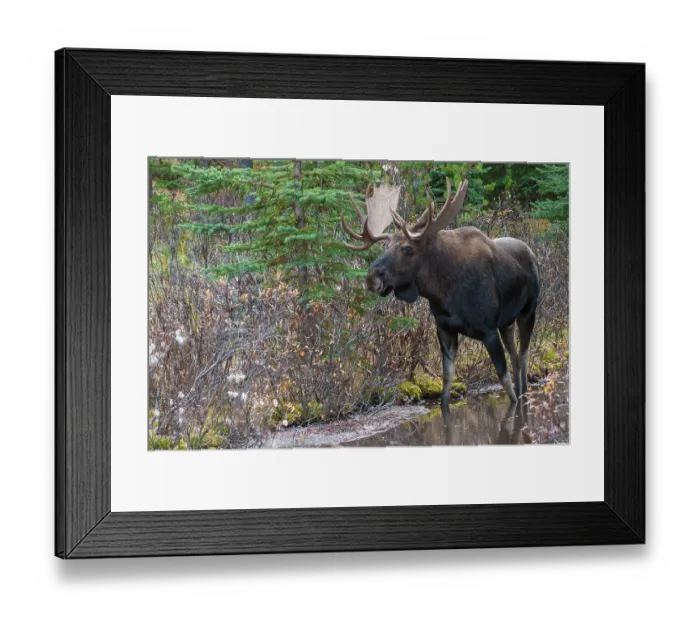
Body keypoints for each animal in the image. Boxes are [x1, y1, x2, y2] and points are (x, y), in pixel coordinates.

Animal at [341, 179, 540, 424]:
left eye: (408, 249)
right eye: (386, 247)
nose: (371, 277)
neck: (444, 294)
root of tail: (531, 253)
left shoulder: (488, 329)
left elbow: (503, 379)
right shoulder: (444, 328)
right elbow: (446, 383)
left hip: (528, 311)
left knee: (523, 353)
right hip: (506, 322)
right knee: (515, 356)